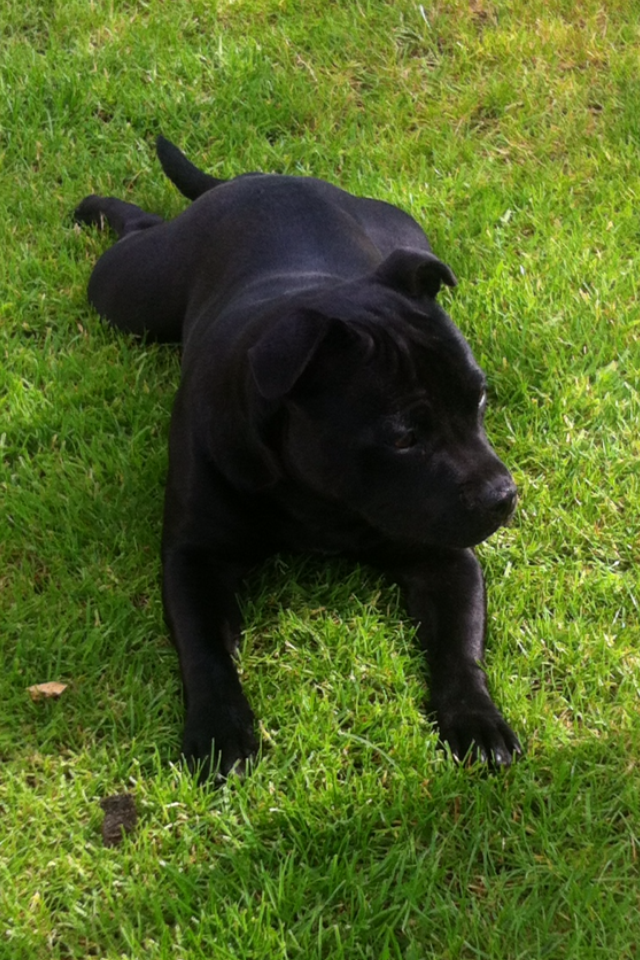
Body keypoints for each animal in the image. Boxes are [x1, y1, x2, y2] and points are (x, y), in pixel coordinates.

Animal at [75, 137, 524, 780]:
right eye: (403, 438)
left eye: (479, 398)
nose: (502, 494)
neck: (318, 499)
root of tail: (258, 178)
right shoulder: (193, 560)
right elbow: (205, 651)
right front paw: (220, 731)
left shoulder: (444, 558)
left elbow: (461, 647)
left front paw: (477, 719)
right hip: (131, 292)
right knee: (140, 231)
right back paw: (98, 209)